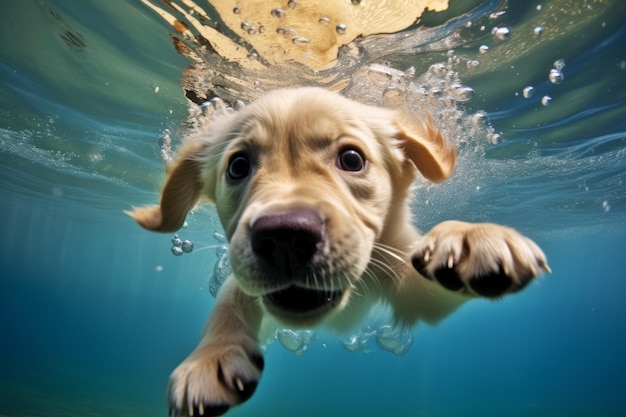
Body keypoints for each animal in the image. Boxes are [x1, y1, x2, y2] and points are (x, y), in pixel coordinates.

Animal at [129, 86, 548, 414]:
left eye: (351, 159)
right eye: (238, 166)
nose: (284, 238)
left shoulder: (405, 276)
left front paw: (471, 237)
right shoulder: (241, 276)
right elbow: (227, 306)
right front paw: (210, 358)